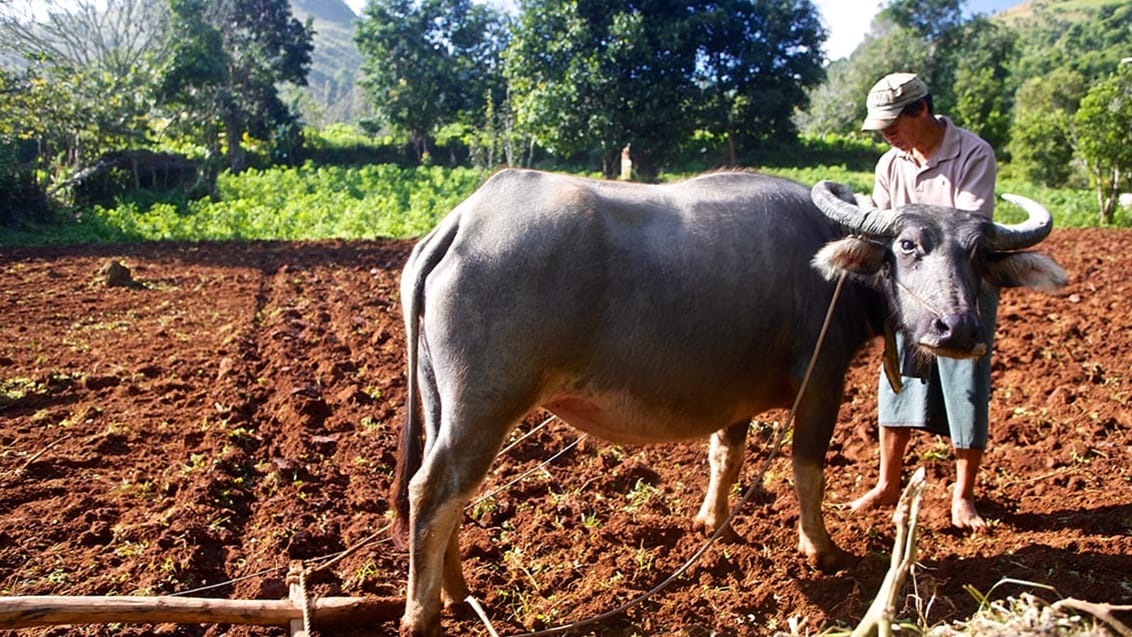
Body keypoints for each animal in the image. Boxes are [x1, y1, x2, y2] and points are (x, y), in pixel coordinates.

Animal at [389, 167, 1059, 633]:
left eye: (979, 254)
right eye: (909, 246)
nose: (958, 329)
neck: (833, 266)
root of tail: (463, 221)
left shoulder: (735, 399)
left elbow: (726, 457)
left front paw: (712, 524)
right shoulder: (822, 381)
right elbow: (807, 467)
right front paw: (822, 550)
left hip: (443, 401)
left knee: (446, 493)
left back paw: (456, 592)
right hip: (485, 405)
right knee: (435, 490)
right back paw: (423, 614)